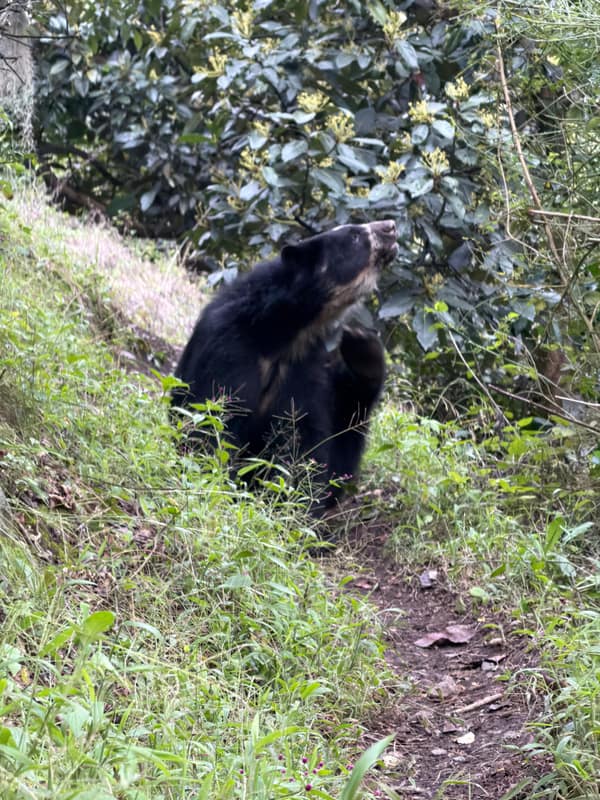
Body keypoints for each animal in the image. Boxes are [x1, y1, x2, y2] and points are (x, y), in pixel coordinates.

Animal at [171, 219, 398, 513]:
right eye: (355, 236)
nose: (391, 226)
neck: (287, 332)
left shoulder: (305, 367)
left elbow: (300, 438)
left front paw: (289, 503)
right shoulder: (227, 348)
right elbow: (212, 415)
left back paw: (364, 350)